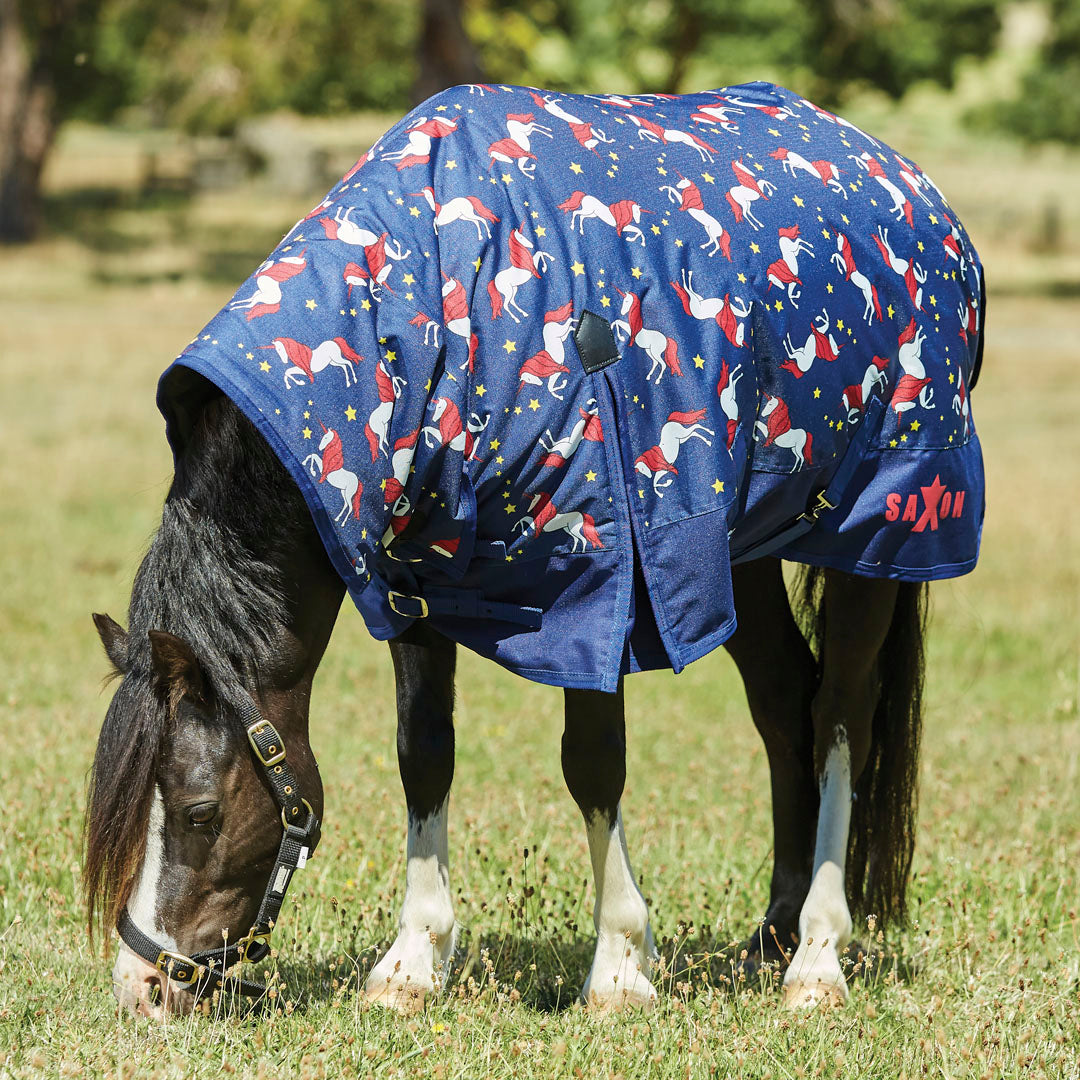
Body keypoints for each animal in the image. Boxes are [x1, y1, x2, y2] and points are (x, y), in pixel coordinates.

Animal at [85, 80, 984, 1020]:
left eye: (197, 811)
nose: (143, 987)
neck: (435, 310)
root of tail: (911, 187)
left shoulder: (595, 579)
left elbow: (593, 763)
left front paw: (620, 965)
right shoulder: (416, 578)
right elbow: (423, 752)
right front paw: (412, 960)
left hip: (877, 538)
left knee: (841, 713)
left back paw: (815, 955)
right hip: (745, 550)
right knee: (784, 706)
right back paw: (770, 933)